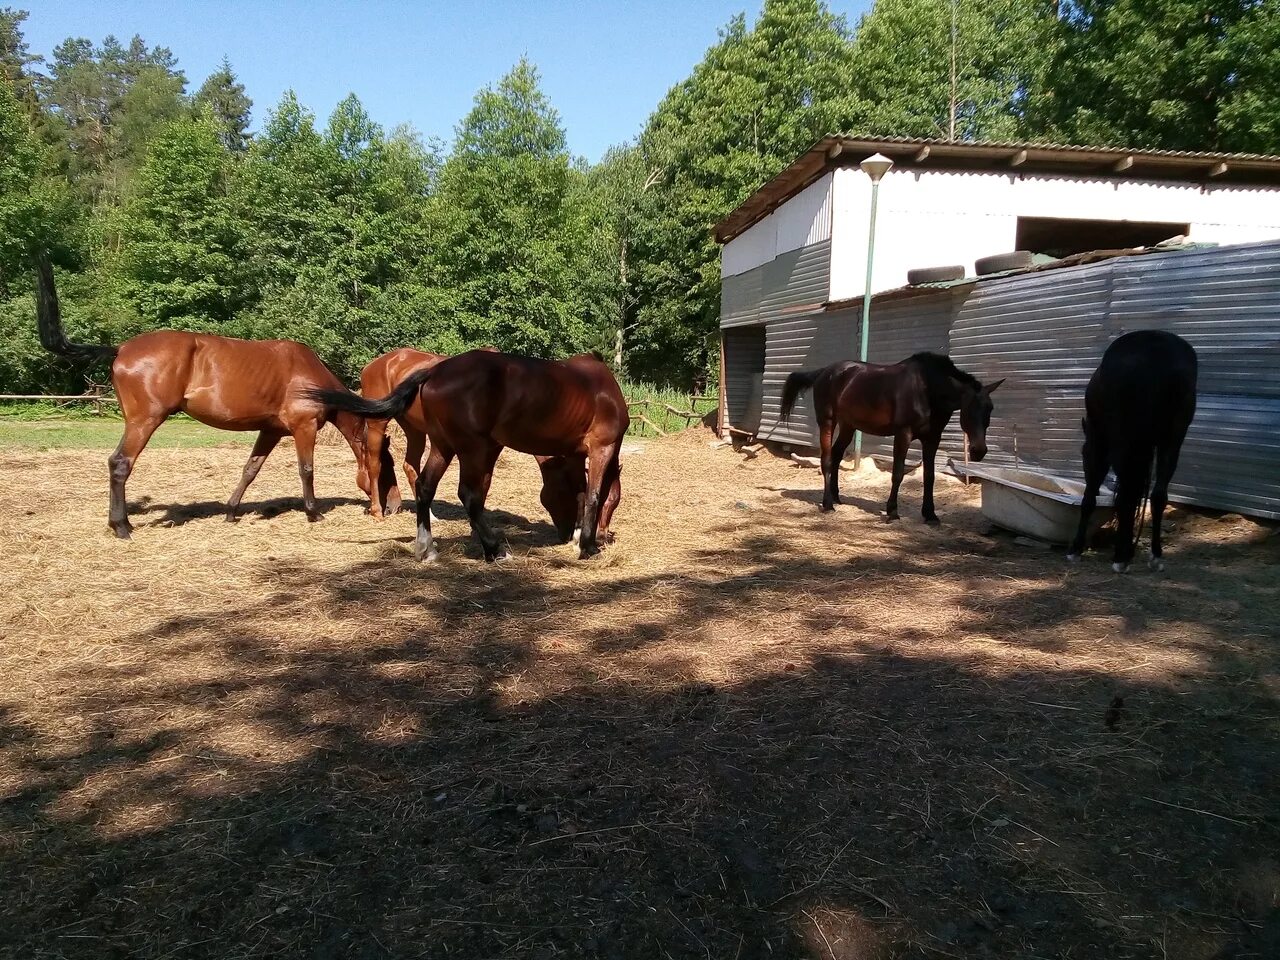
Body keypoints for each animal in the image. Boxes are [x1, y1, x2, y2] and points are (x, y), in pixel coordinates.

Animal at [35, 256, 373, 542]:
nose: (375, 507)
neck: (308, 374)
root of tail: (120, 348)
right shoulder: (304, 427)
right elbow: (307, 470)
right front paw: (314, 513)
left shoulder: (271, 430)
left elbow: (250, 469)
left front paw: (231, 512)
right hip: (144, 421)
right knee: (119, 464)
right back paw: (121, 526)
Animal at [309, 350, 629, 563]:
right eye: (615, 505)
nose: (603, 535)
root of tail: (435, 371)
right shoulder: (602, 448)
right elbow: (594, 494)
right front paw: (587, 546)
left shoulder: (573, 455)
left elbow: (581, 492)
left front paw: (579, 535)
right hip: (474, 449)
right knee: (469, 495)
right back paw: (494, 549)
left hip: (443, 446)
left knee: (425, 486)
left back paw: (427, 548)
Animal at [773, 350, 1003, 519]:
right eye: (969, 409)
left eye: (990, 409)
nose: (979, 451)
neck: (927, 389)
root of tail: (824, 372)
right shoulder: (903, 434)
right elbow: (898, 473)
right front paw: (892, 511)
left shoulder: (932, 438)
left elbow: (929, 476)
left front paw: (930, 514)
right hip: (827, 421)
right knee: (827, 459)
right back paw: (828, 503)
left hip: (848, 425)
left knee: (837, 455)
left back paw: (836, 496)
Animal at [1064, 330, 1192, 570]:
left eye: (1082, 453)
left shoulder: (1102, 446)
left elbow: (1090, 497)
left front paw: (1076, 549)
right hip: (1172, 439)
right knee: (1157, 494)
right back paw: (1154, 555)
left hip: (1126, 442)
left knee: (1127, 494)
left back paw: (1121, 557)